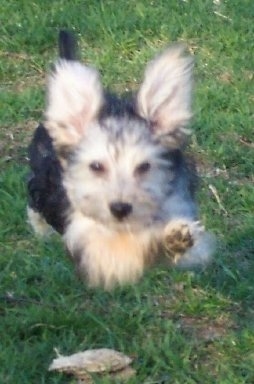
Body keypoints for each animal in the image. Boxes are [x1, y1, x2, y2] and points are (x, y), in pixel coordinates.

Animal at [27, 30, 214, 288]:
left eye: (144, 167)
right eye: (96, 166)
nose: (120, 208)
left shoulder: (179, 206)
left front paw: (173, 237)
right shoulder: (94, 246)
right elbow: (128, 246)